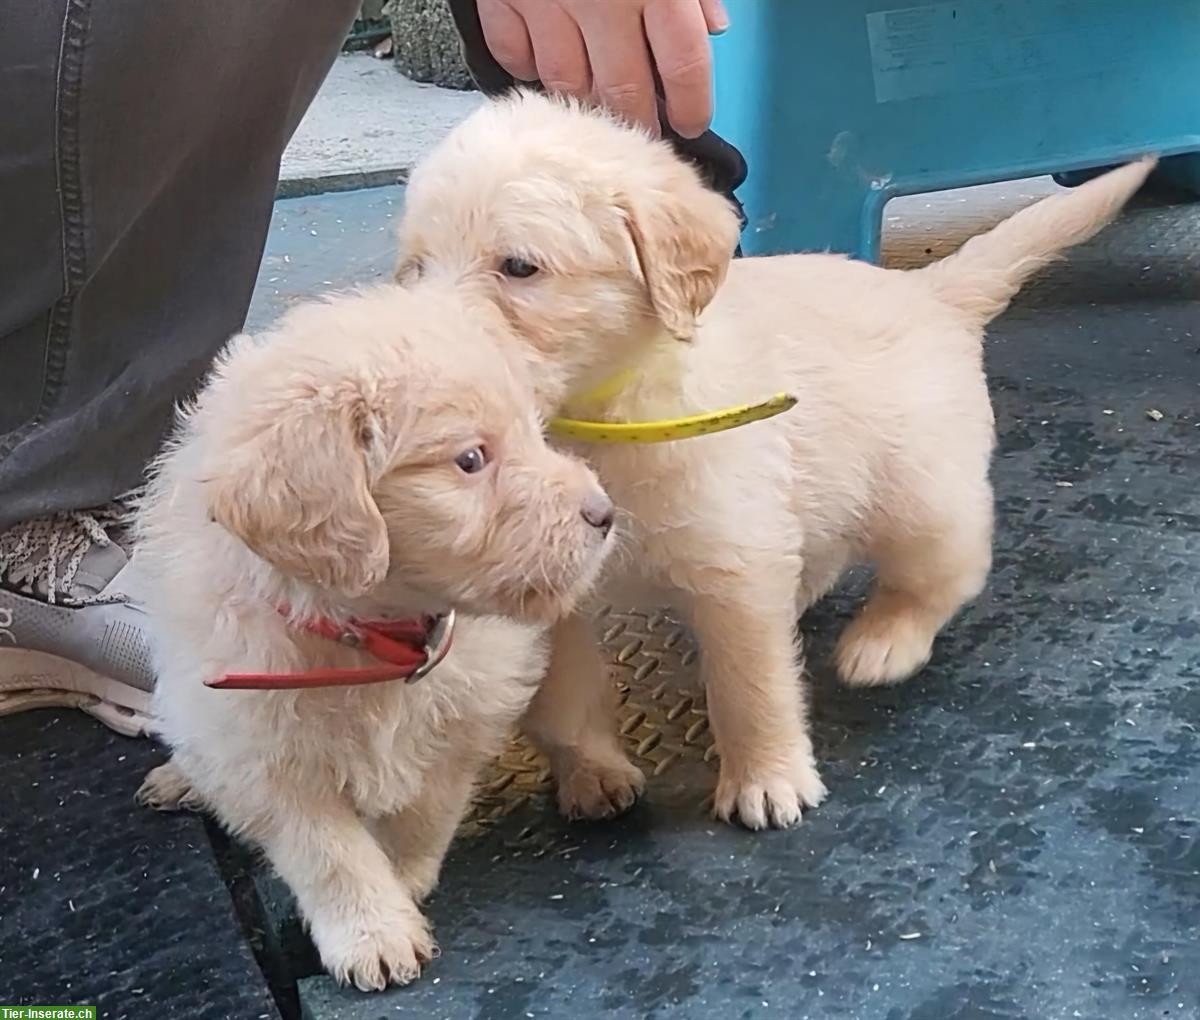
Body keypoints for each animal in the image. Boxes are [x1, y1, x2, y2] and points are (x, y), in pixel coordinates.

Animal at [136, 278, 614, 984]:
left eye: (535, 433)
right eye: (470, 460)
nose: (603, 513)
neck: (375, 636)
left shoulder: (467, 710)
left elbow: (426, 807)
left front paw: (405, 876)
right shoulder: (261, 751)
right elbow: (326, 851)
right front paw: (371, 929)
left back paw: (596, 772)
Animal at [396, 91, 1152, 830]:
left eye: (519, 267)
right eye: (416, 267)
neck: (602, 415)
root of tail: (926, 290)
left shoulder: (735, 565)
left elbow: (749, 685)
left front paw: (766, 777)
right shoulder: (550, 592)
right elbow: (565, 697)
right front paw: (592, 772)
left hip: (922, 495)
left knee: (946, 571)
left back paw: (885, 641)